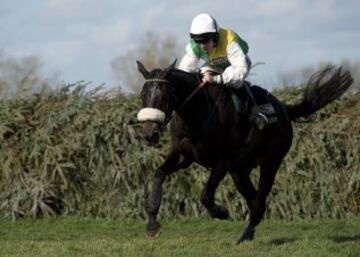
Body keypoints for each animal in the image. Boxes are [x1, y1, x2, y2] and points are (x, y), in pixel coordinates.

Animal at [134, 59, 352, 243]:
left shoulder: (223, 160)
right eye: (143, 95)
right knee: (254, 199)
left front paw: (222, 212)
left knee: (259, 199)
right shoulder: (183, 156)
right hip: (239, 171)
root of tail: (283, 108)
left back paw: (244, 236)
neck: (198, 113)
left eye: (164, 95)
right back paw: (249, 232)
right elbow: (158, 174)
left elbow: (206, 195)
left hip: (270, 162)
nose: (149, 133)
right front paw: (152, 225)